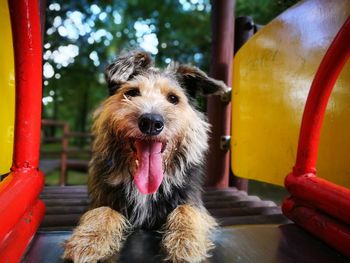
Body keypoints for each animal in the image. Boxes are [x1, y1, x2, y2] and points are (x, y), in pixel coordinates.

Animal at [63, 50, 227, 262]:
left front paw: (185, 243)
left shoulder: (192, 200)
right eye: (132, 93)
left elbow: (186, 210)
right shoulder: (102, 198)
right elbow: (104, 211)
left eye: (173, 98)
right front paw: (88, 241)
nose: (151, 122)